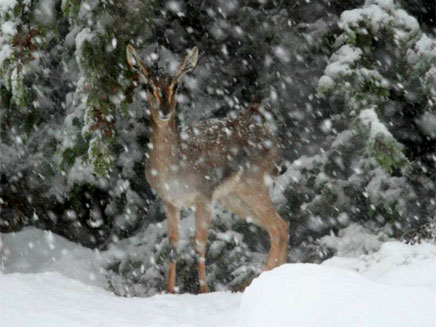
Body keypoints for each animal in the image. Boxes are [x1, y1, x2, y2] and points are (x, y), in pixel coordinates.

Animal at [126, 44, 290, 294]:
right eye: (149, 86)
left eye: (176, 85)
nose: (164, 110)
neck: (173, 169)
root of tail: (277, 143)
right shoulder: (169, 201)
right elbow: (173, 245)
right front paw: (170, 291)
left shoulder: (203, 197)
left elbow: (199, 245)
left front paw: (203, 291)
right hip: (233, 199)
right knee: (279, 227)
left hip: (252, 186)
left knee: (279, 227)